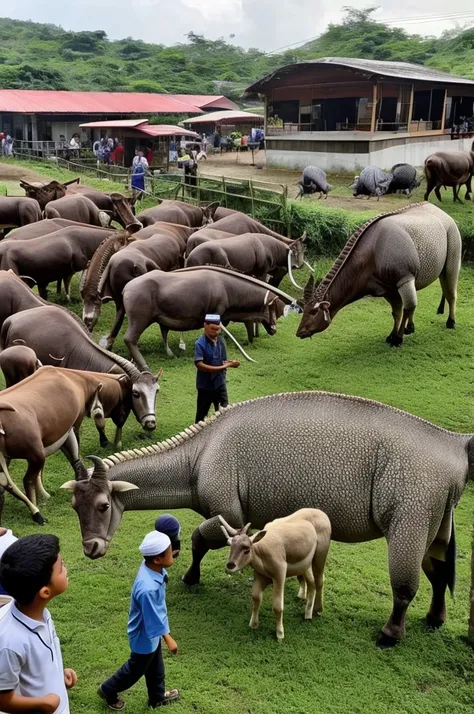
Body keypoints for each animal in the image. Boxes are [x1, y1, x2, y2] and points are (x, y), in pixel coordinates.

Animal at [120, 266, 290, 368]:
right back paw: (144, 365)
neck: (227, 287)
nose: (274, 330)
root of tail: (127, 288)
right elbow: (219, 334)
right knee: (129, 338)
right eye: (272, 308)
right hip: (140, 319)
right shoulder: (217, 313)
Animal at [220, 506, 332, 640]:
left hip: (320, 555)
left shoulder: (280, 573)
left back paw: (318, 610)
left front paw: (280, 634)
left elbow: (277, 606)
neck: (261, 551)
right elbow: (256, 598)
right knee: (312, 583)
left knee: (319, 581)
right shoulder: (260, 575)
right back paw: (307, 613)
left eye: (246, 549)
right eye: (230, 546)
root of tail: (322, 513)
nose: (229, 567)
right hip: (306, 565)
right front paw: (253, 624)